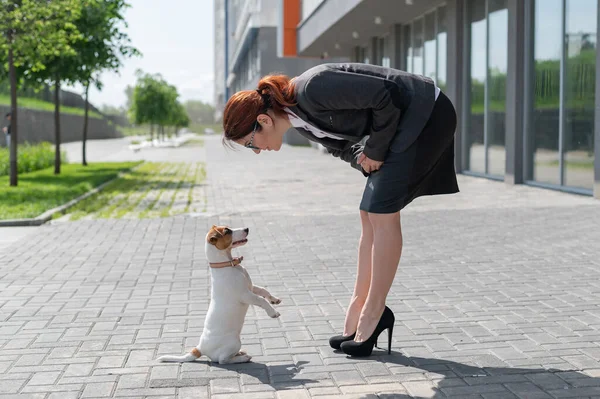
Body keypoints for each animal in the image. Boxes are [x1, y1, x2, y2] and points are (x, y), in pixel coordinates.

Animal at [156, 225, 280, 366]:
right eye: (227, 231)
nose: (247, 228)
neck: (229, 265)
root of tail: (200, 347)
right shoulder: (245, 295)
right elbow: (261, 300)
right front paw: (273, 312)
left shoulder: (251, 288)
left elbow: (263, 291)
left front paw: (274, 300)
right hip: (234, 342)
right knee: (222, 360)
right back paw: (242, 358)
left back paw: (240, 353)